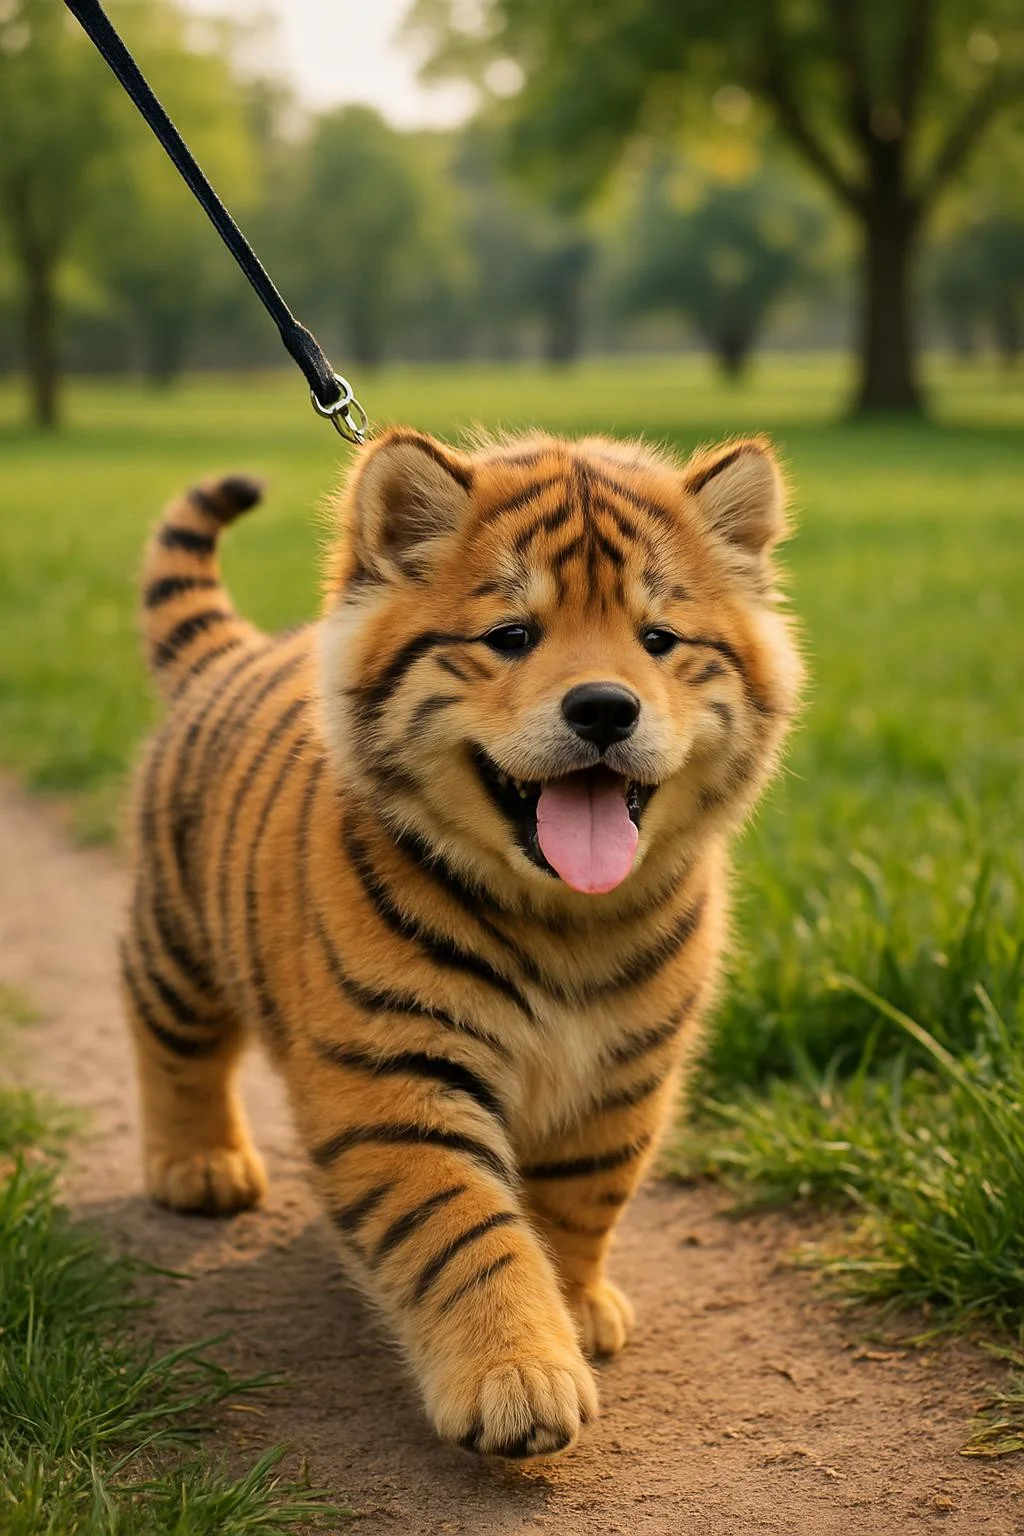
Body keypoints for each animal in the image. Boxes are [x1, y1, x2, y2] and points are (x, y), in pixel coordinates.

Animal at [122, 426, 802, 1459]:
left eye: (657, 640)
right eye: (513, 636)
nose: (605, 707)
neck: (565, 918)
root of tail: (234, 655)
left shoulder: (626, 1074)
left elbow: (580, 1200)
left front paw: (577, 1309)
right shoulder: (395, 1077)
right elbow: (466, 1233)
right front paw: (516, 1379)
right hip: (175, 944)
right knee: (173, 1047)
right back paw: (198, 1165)